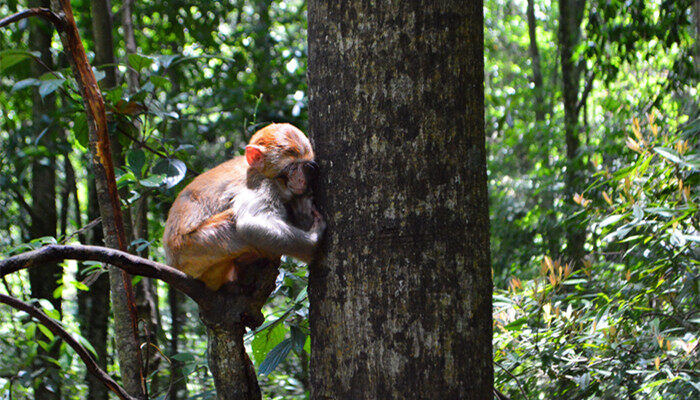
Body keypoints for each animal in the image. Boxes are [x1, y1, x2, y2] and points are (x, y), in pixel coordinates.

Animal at [164, 122, 326, 290]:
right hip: (195, 248)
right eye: (292, 167)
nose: (301, 180)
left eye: (305, 167)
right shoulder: (263, 184)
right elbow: (250, 223)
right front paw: (315, 239)